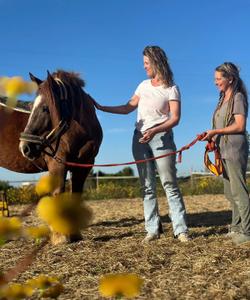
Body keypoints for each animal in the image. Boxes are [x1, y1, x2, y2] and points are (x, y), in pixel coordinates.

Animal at [18, 69, 102, 244]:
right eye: (30, 106)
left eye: (45, 108)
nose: (24, 148)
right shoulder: (57, 163)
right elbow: (58, 193)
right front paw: (60, 236)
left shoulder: (85, 164)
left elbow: (75, 195)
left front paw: (74, 233)